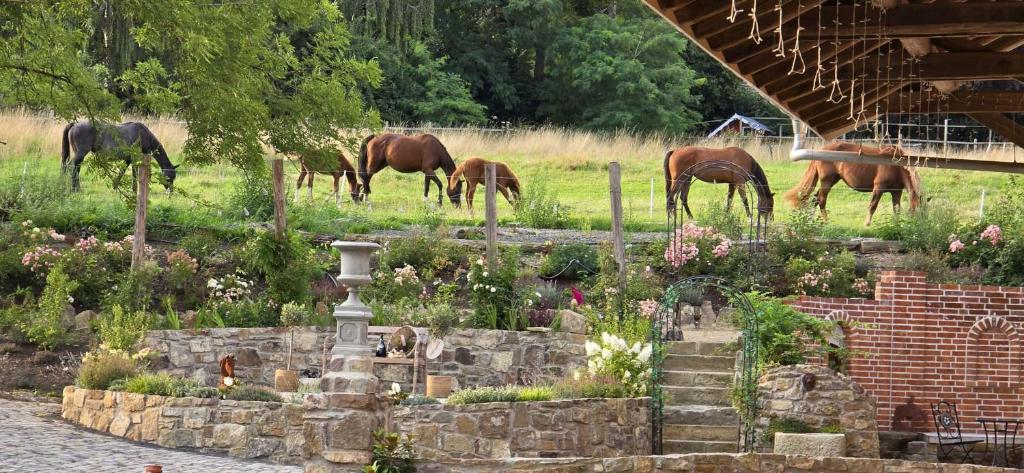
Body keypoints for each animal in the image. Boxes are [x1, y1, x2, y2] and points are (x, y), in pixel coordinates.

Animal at [783, 142, 922, 226]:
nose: (916, 226)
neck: (895, 165)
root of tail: (821, 150)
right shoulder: (878, 188)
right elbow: (872, 206)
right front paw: (866, 224)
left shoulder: (896, 192)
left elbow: (896, 209)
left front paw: (896, 224)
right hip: (827, 181)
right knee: (821, 199)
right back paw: (827, 222)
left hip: (833, 180)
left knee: (815, 199)